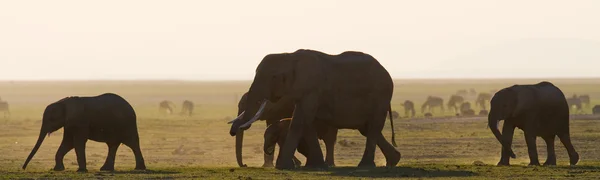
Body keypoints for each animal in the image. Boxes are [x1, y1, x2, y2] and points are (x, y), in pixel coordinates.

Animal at [227, 49, 400, 170]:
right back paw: (393, 161)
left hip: (380, 95)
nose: (232, 132)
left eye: (273, 77)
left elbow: (300, 121)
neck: (289, 56)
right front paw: (315, 166)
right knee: (368, 129)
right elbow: (306, 122)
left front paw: (284, 167)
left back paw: (365, 166)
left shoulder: (311, 88)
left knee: (373, 127)